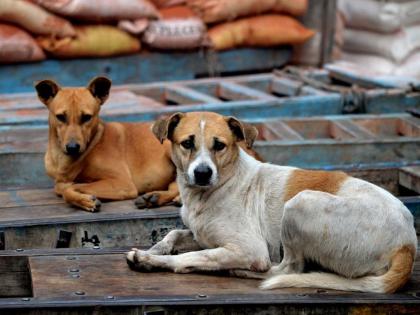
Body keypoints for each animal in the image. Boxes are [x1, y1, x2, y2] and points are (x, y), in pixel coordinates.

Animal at [36, 77, 260, 212]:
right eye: (60, 117)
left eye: (87, 117)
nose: (73, 147)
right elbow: (63, 186)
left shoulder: (122, 183)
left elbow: (67, 188)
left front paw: (84, 198)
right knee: (174, 185)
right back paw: (155, 197)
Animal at [127, 111, 416, 294]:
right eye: (187, 143)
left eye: (219, 145)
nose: (202, 173)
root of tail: (408, 244)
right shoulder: (201, 234)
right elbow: (175, 234)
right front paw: (157, 249)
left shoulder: (249, 249)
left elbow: (189, 257)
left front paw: (150, 259)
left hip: (300, 203)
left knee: (288, 269)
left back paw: (241, 272)